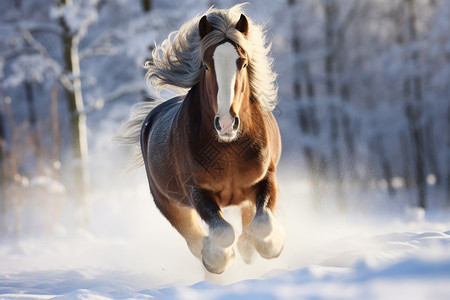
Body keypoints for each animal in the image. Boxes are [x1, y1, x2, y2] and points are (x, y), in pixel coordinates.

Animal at [121, 4, 284, 274]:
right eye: (206, 65)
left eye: (242, 63)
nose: (227, 122)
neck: (229, 148)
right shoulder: (197, 191)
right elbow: (223, 232)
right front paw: (219, 257)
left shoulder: (265, 178)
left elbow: (262, 223)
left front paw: (270, 246)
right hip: (169, 203)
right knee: (193, 238)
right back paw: (213, 260)